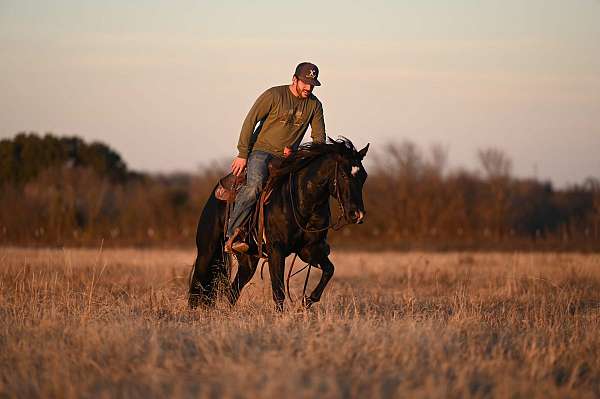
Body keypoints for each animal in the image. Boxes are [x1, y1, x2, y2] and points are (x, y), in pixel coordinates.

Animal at [188, 138, 368, 312]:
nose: (357, 214)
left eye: (364, 176)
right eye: (344, 174)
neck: (301, 200)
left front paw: (305, 304)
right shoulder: (276, 250)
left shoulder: (309, 249)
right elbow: (278, 290)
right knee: (198, 281)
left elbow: (329, 270)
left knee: (233, 290)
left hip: (248, 259)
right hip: (207, 251)